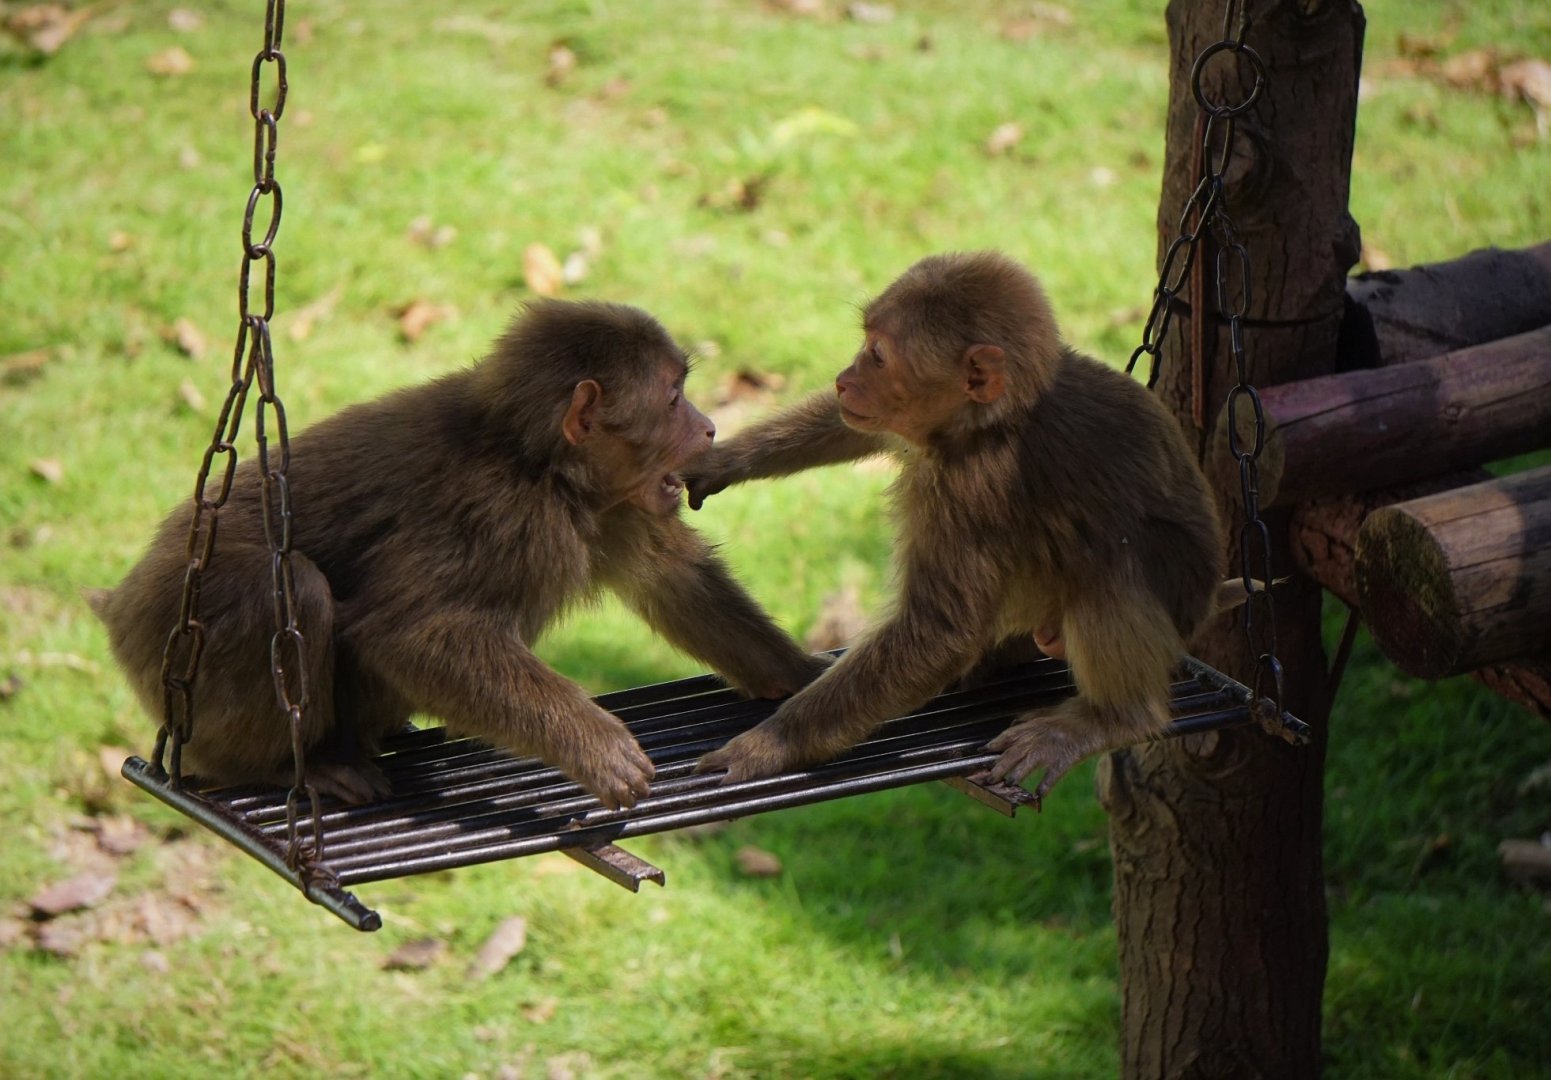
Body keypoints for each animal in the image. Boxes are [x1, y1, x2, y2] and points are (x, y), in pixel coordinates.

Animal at [94, 299, 827, 809]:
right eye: (673, 399)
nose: (707, 427)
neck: (540, 466)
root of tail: (120, 603)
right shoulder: (498, 516)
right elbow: (408, 631)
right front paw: (596, 746)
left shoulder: (616, 507)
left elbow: (673, 581)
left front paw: (795, 676)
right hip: (169, 642)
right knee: (285, 585)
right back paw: (277, 768)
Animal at [686, 251, 1226, 798]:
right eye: (867, 347)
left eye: (877, 356)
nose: (843, 379)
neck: (986, 426)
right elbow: (850, 427)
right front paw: (723, 461)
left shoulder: (974, 488)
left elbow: (939, 633)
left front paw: (766, 746)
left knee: (1110, 566)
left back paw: (1119, 717)